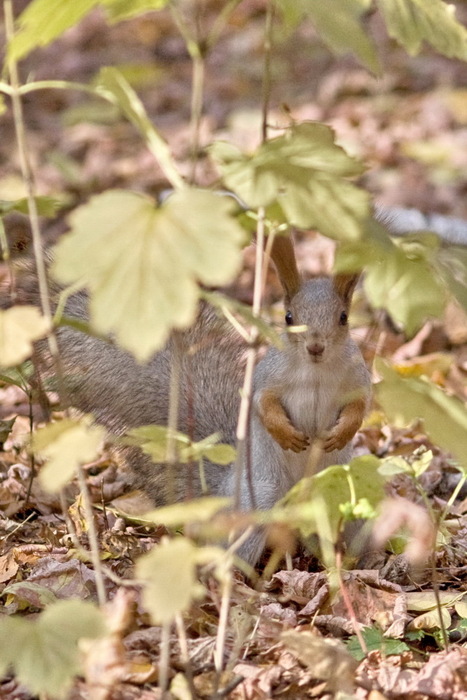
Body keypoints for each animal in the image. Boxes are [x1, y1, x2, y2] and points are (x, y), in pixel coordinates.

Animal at [8, 235, 372, 564]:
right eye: (289, 317)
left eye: (343, 317)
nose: (315, 347)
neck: (316, 371)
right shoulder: (269, 375)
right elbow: (262, 402)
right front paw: (284, 433)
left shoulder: (358, 375)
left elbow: (360, 405)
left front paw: (342, 432)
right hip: (261, 498)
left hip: (343, 496)